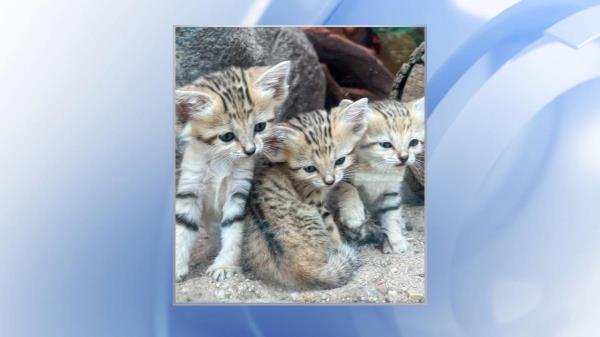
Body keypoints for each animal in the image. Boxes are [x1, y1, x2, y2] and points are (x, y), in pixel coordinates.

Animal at [175, 59, 292, 280]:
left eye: (260, 127)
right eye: (227, 137)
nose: (250, 150)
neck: (221, 161)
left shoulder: (239, 191)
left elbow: (234, 231)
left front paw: (225, 265)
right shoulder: (189, 189)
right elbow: (182, 230)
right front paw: (177, 266)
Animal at [240, 98, 370, 288]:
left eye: (340, 160)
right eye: (309, 168)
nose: (329, 180)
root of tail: (297, 267)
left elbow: (346, 185)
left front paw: (353, 213)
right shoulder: (315, 202)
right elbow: (332, 229)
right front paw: (343, 237)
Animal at [332, 97, 426, 252]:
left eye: (413, 142)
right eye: (386, 145)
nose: (404, 157)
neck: (377, 169)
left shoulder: (391, 191)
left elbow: (392, 214)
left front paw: (396, 239)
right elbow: (348, 187)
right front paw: (353, 214)